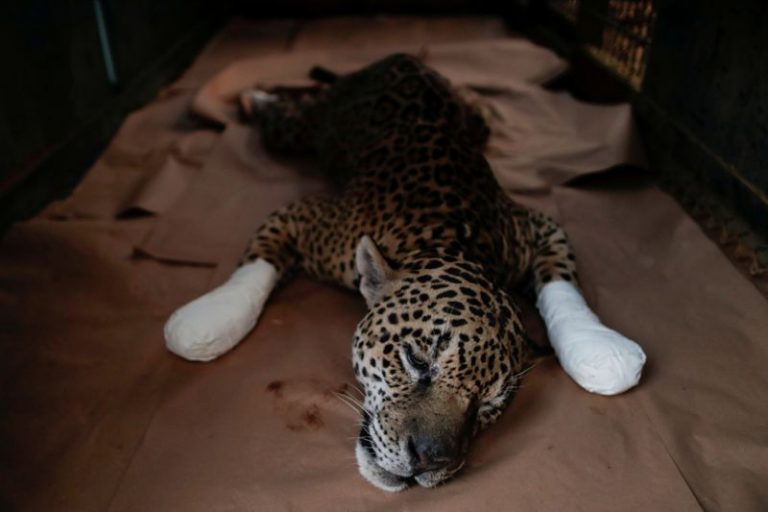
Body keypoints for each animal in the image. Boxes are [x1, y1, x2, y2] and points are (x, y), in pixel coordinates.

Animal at [164, 52, 646, 492]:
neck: (454, 238)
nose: (429, 460)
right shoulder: (308, 217)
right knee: (290, 112)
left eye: (489, 402)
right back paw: (256, 96)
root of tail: (403, 57)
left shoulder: (537, 229)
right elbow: (258, 259)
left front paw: (596, 346)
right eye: (416, 360)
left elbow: (562, 278)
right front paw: (213, 317)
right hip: (307, 124)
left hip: (471, 122)